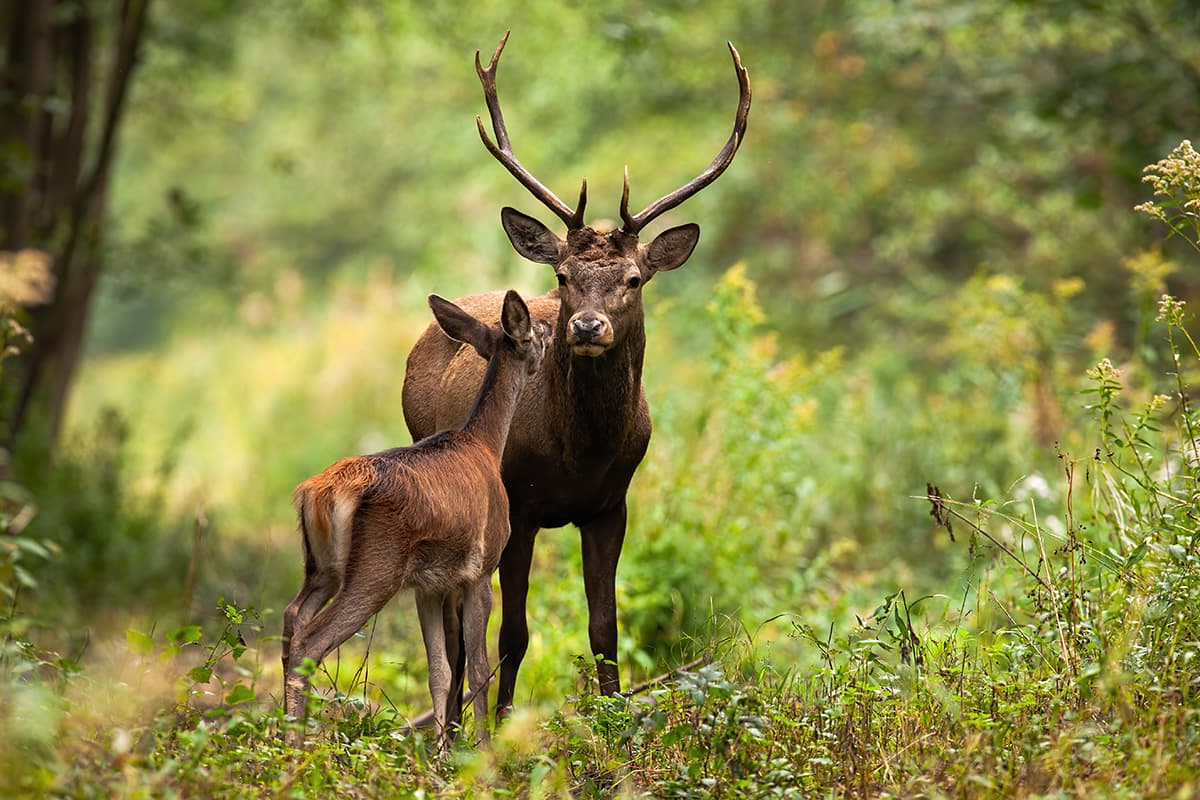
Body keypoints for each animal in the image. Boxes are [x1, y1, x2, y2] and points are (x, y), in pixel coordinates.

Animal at [282, 290, 548, 748]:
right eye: (537, 333)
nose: (553, 335)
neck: (485, 444)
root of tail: (319, 493)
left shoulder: (428, 584)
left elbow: (439, 671)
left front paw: (442, 751)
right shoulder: (481, 568)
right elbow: (479, 668)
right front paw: (481, 748)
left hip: (321, 567)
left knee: (291, 618)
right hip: (376, 568)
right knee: (310, 643)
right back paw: (295, 749)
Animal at [401, 32, 750, 727]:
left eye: (635, 279)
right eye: (562, 275)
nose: (588, 326)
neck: (580, 454)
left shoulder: (612, 504)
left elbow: (605, 628)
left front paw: (615, 722)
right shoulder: (520, 506)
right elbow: (513, 634)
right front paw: (502, 724)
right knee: (454, 621)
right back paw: (451, 720)